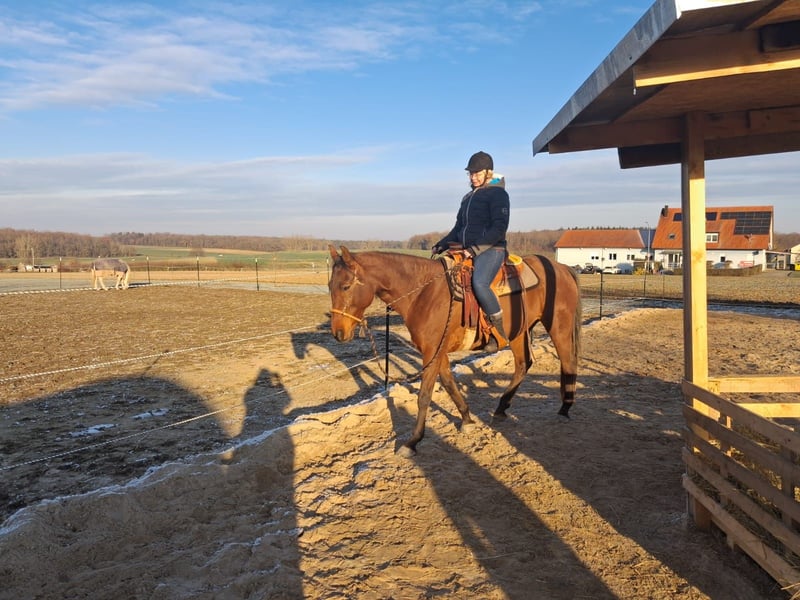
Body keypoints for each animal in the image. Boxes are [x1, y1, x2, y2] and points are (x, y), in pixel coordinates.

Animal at [327, 245, 581, 456]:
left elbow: (424, 396)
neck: (423, 293)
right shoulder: (438, 352)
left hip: (558, 326)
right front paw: (467, 419)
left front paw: (412, 442)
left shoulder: (432, 352)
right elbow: (449, 384)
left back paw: (565, 406)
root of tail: (563, 269)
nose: (338, 333)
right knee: (522, 365)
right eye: (330, 286)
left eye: (346, 286)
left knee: (567, 361)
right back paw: (501, 408)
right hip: (519, 332)